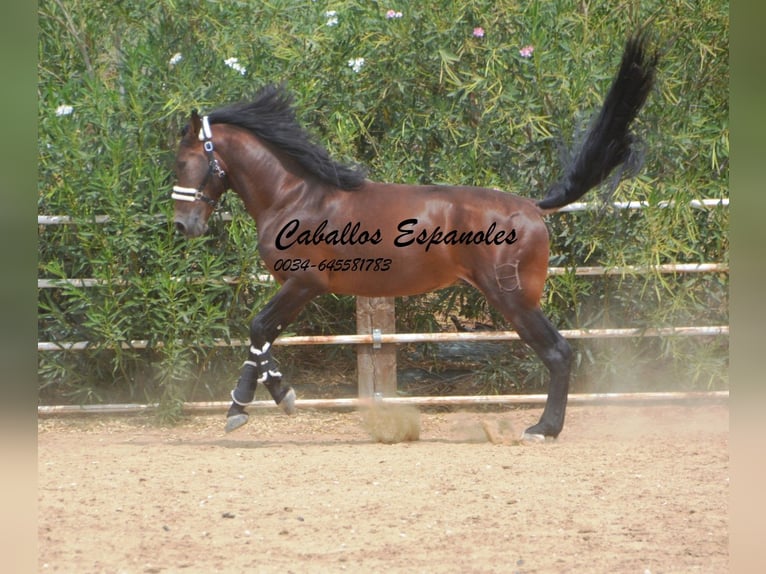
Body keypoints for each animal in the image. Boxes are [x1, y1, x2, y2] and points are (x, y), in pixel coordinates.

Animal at [172, 33, 660, 438]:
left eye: (182, 162)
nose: (182, 225)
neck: (295, 196)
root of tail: (532, 208)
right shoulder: (297, 288)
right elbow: (263, 339)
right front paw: (271, 398)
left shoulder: (305, 282)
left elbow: (257, 328)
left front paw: (246, 406)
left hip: (512, 297)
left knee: (559, 352)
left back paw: (544, 429)